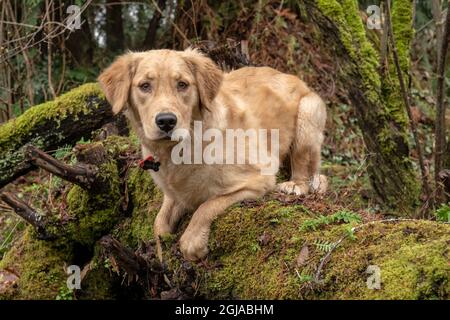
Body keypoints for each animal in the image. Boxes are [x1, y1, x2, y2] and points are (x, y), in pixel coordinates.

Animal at [98, 48, 326, 262]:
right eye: (145, 86)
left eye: (182, 84)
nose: (166, 121)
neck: (181, 148)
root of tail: (291, 76)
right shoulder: (176, 194)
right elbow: (159, 224)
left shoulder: (257, 179)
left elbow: (207, 206)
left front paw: (193, 243)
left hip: (307, 114)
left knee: (305, 168)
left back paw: (296, 184)